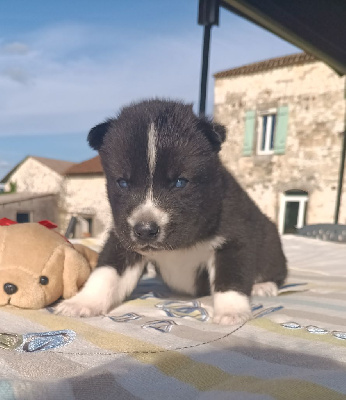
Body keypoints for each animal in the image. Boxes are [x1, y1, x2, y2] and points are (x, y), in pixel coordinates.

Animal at [56, 99, 288, 324]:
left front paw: (232, 311)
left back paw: (264, 286)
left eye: (179, 182)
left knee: (276, 270)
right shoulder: (122, 240)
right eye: (122, 182)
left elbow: (230, 278)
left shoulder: (234, 237)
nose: (145, 230)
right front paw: (82, 302)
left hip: (270, 243)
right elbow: (106, 272)